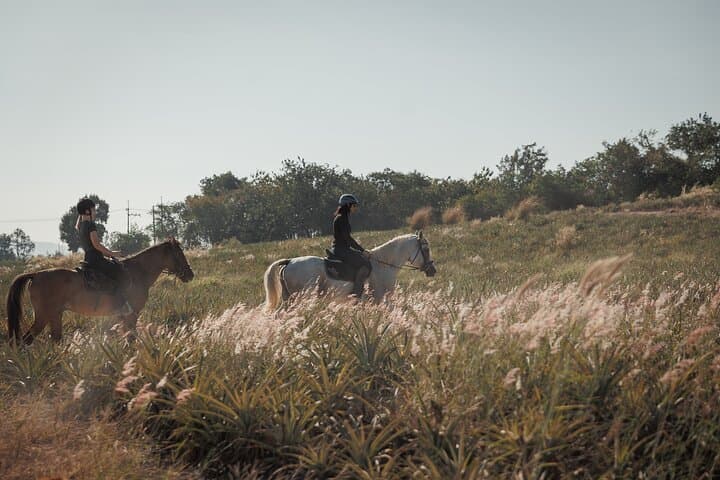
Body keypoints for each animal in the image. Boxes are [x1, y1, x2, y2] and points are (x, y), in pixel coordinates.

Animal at [6, 238, 194, 344]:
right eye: (179, 254)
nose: (190, 274)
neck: (138, 273)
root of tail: (36, 274)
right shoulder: (132, 314)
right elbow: (131, 338)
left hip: (55, 315)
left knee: (55, 339)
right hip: (43, 315)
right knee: (27, 340)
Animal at [263, 231, 436, 310]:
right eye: (426, 249)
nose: (432, 270)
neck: (384, 265)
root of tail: (289, 261)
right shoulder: (383, 300)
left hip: (290, 299)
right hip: (302, 298)